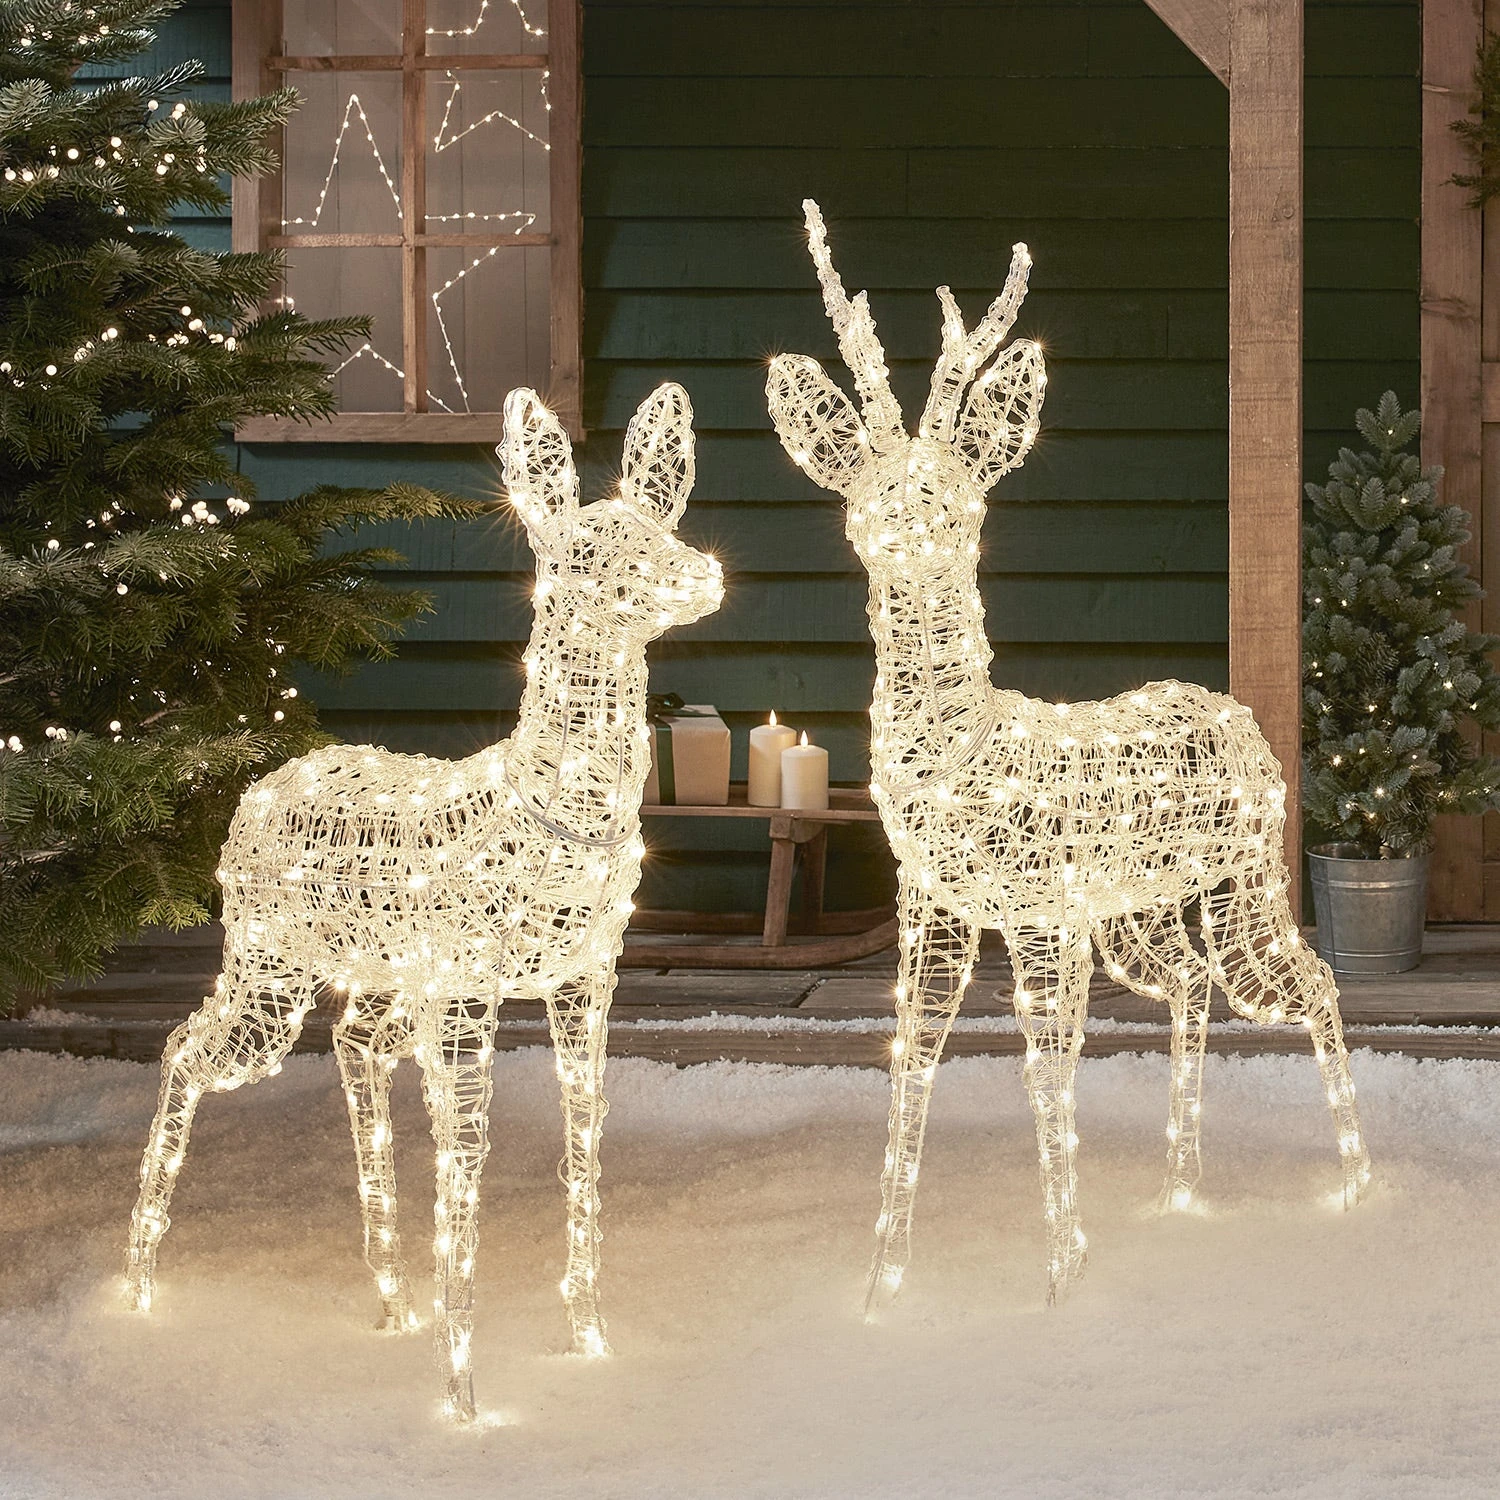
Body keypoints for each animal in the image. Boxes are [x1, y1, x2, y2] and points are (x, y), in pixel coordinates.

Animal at [124, 383, 723, 1422]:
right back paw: (136, 1290)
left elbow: (583, 1133)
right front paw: (467, 1404)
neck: (544, 806)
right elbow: (468, 1153)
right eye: (588, 552)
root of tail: (259, 787)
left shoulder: (584, 977)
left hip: (377, 979)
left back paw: (391, 1305)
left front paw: (590, 1346)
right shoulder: (468, 987)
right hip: (272, 962)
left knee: (352, 1048)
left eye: (662, 527)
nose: (705, 574)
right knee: (186, 1049)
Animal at [765, 200, 1370, 1316]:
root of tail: (1239, 716)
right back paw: (1179, 1190)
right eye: (867, 503)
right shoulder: (935, 908)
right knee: (1191, 983)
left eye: (960, 504)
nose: (909, 545)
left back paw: (1356, 1188)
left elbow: (1047, 1067)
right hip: (1140, 907)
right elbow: (912, 1055)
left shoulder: (1044, 910)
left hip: (1246, 875)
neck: (963, 751)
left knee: (1308, 982)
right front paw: (882, 1289)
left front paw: (1060, 1283)